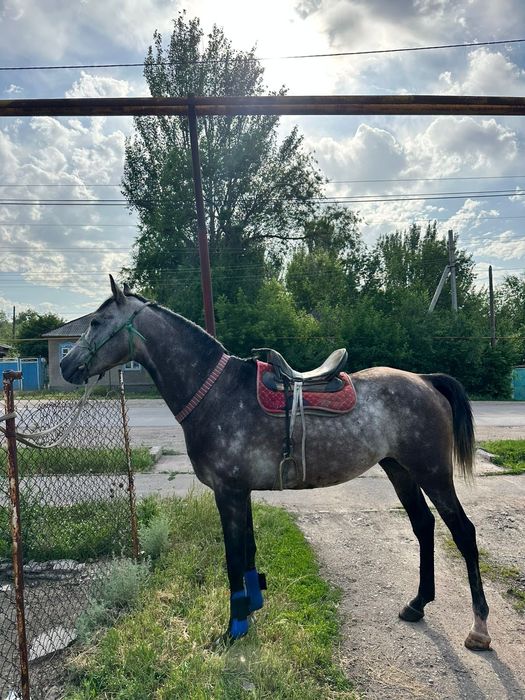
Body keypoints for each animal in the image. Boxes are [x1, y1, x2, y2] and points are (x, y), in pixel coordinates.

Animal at [60, 276, 491, 650]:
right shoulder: (241, 492)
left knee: (464, 532)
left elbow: (234, 558)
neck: (216, 394)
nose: (66, 366)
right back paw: (417, 605)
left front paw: (233, 629)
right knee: (423, 525)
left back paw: (479, 628)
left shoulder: (228, 492)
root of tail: (425, 380)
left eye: (96, 322)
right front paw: (251, 610)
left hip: (433, 473)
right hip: (399, 470)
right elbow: (248, 552)